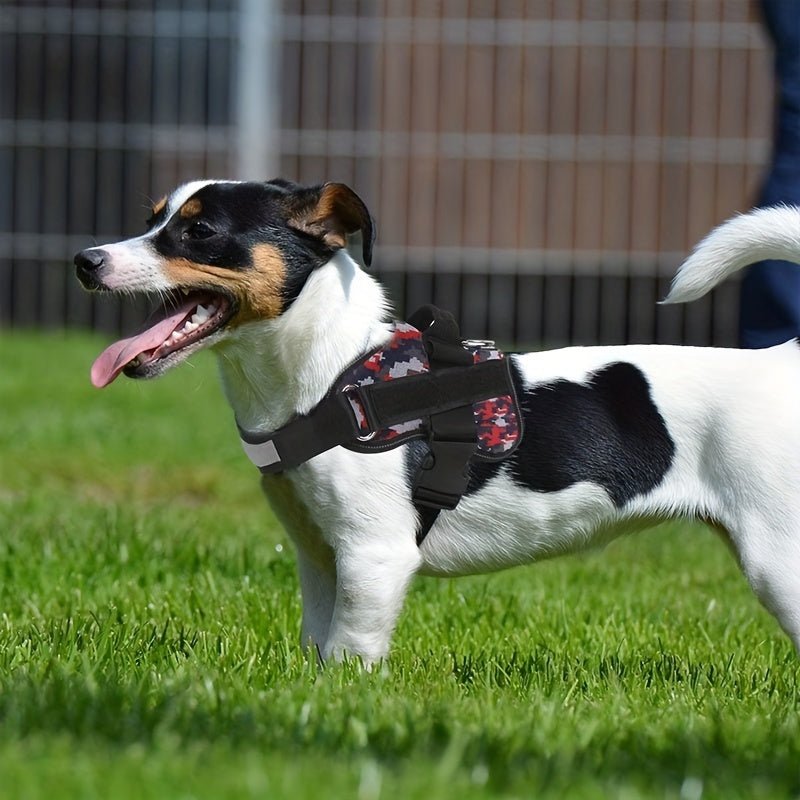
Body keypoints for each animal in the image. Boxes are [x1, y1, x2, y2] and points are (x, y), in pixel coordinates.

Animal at [75, 181, 800, 664]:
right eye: (153, 220)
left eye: (198, 232)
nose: (85, 261)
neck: (335, 372)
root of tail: (783, 359)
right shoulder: (320, 557)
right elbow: (319, 647)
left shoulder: (374, 556)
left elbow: (352, 652)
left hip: (779, 561)